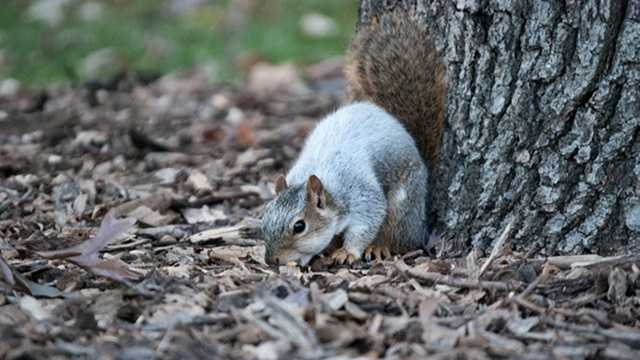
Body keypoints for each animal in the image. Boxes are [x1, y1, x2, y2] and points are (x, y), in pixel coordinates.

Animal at [260, 8, 444, 266]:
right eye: (264, 218)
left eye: (299, 226)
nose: (271, 260)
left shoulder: (360, 193)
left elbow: (368, 220)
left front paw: (348, 251)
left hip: (405, 202)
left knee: (401, 237)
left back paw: (380, 245)